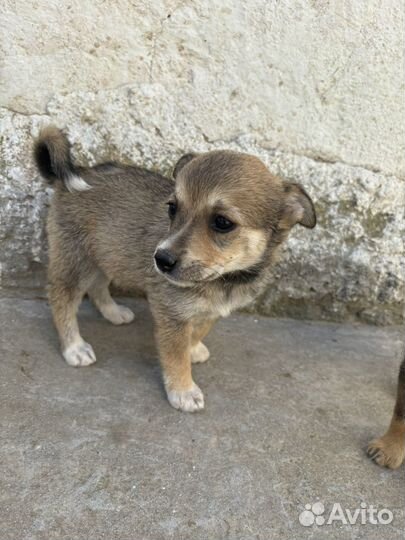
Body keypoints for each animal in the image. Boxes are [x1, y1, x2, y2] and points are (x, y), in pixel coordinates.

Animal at [34, 127, 316, 414]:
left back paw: (114, 313)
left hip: (106, 254)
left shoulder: (210, 312)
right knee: (61, 299)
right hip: (74, 260)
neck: (225, 280)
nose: (161, 260)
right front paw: (183, 391)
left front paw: (194, 349)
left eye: (222, 222)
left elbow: (198, 331)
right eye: (172, 208)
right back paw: (74, 347)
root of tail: (72, 174)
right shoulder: (172, 313)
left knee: (98, 286)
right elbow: (175, 355)